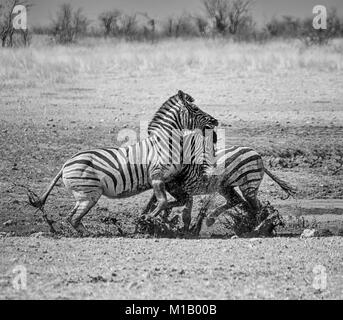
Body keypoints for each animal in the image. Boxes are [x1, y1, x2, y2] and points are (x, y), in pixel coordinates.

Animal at [28, 90, 219, 235]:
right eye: (195, 108)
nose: (215, 121)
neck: (165, 143)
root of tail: (65, 164)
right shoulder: (156, 176)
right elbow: (163, 201)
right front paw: (148, 218)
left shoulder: (169, 179)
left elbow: (174, 201)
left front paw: (149, 217)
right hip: (89, 194)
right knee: (73, 218)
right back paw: (91, 235)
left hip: (84, 195)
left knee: (72, 218)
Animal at [142, 144, 296, 231]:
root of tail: (257, 155)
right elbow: (157, 202)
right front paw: (151, 217)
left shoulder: (184, 190)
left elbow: (180, 209)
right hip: (225, 187)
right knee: (239, 201)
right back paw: (213, 219)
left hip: (248, 183)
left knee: (255, 206)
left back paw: (257, 227)